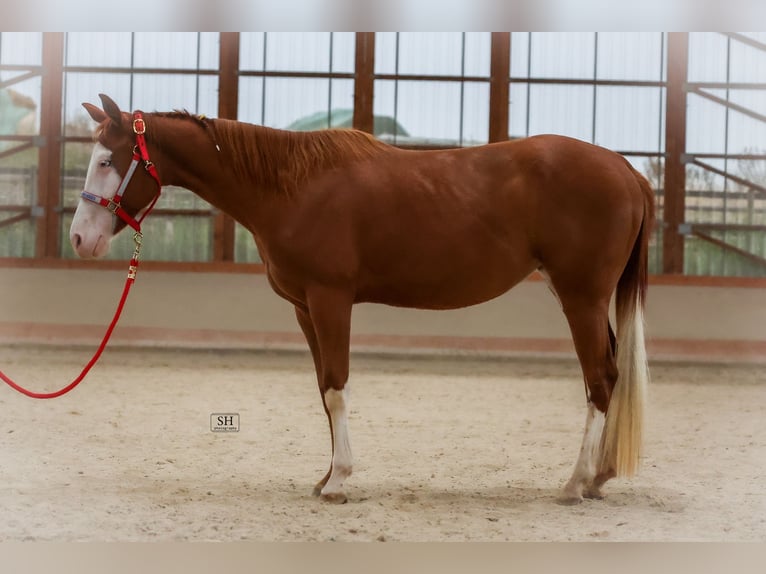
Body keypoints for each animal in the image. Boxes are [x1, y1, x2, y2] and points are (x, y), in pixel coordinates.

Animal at [71, 94, 654, 505]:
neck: (290, 186)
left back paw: (575, 483)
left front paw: (338, 482)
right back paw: (599, 477)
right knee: (610, 375)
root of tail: (625, 169)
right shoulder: (305, 309)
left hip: (581, 298)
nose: (80, 238)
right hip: (583, 299)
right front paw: (327, 475)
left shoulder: (331, 300)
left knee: (600, 381)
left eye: (107, 160)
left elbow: (336, 388)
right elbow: (323, 391)